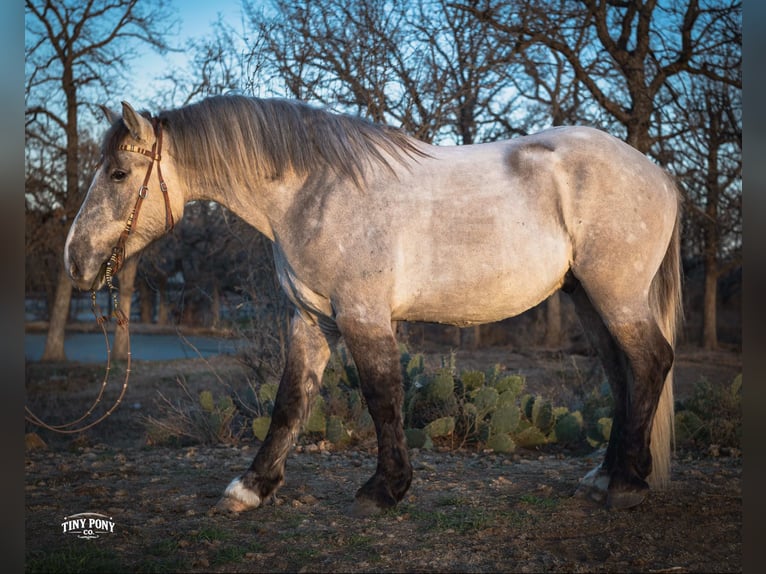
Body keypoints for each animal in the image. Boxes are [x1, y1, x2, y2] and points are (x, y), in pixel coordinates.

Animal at [64, 94, 681, 515]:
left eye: (118, 173)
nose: (75, 260)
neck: (314, 191)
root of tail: (659, 174)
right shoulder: (311, 319)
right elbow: (290, 401)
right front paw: (251, 488)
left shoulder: (362, 315)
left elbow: (383, 397)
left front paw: (384, 489)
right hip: (589, 300)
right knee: (622, 374)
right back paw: (604, 477)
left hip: (615, 295)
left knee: (650, 362)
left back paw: (627, 483)